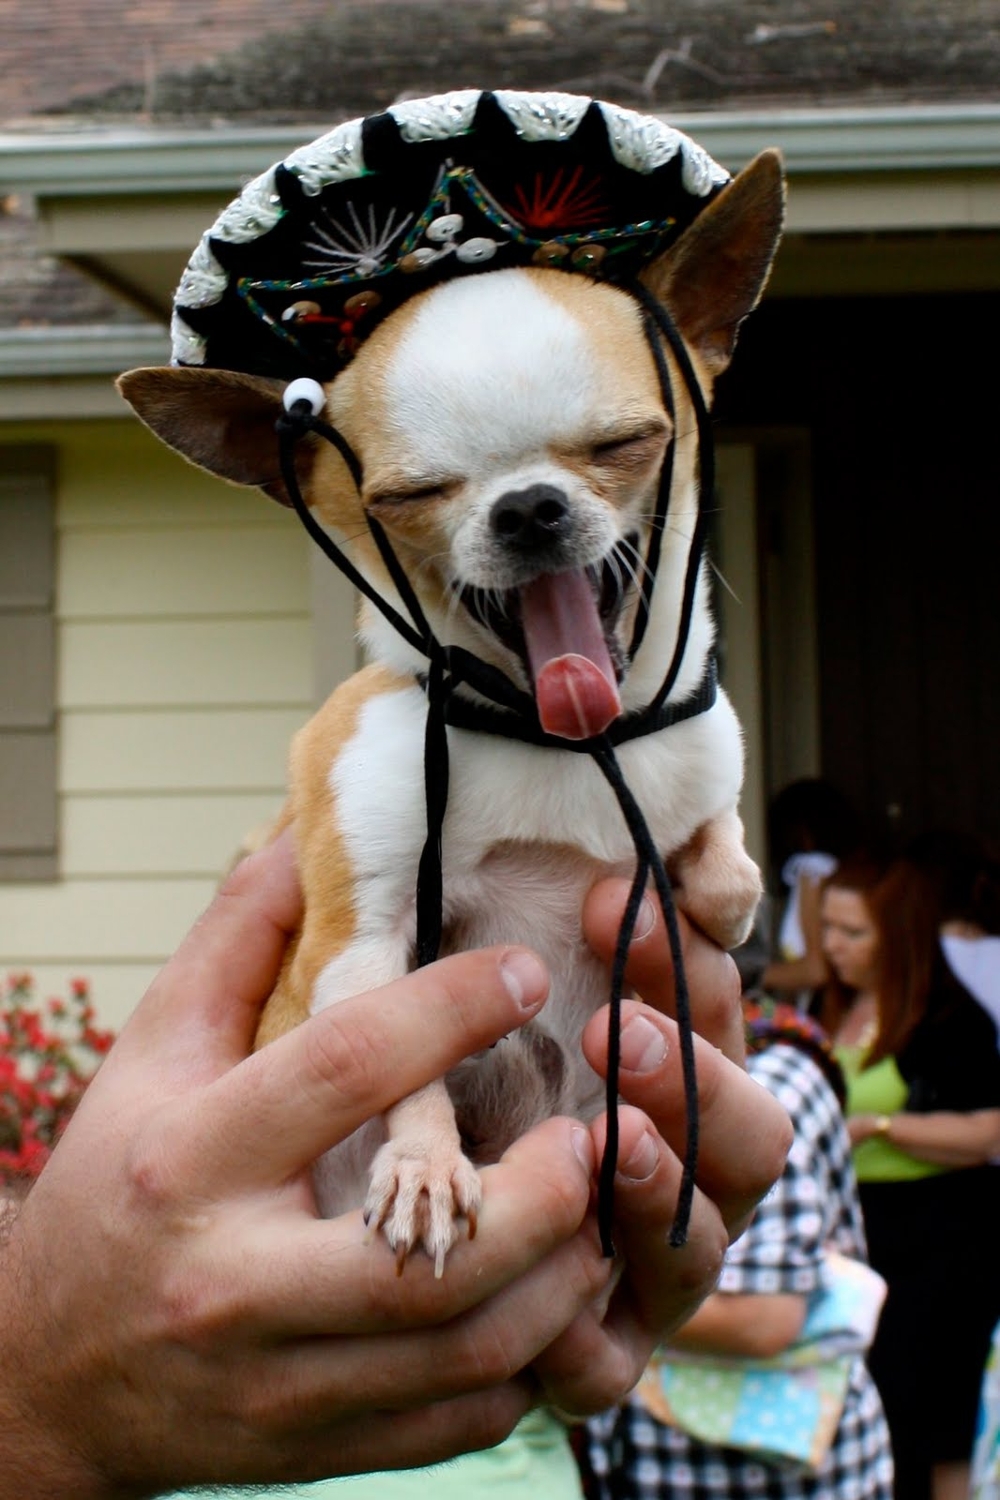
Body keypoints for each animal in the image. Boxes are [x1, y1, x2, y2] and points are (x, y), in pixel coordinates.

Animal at [121, 146, 785, 1272]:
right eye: (409, 496)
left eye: (625, 442)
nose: (527, 506)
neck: (562, 739)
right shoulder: (366, 939)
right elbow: (405, 1067)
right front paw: (427, 1166)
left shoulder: (700, 751)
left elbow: (726, 858)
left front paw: (721, 884)